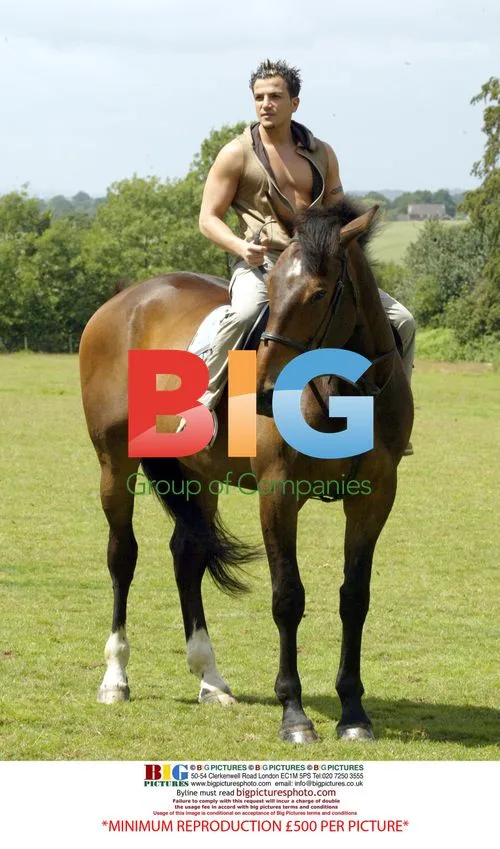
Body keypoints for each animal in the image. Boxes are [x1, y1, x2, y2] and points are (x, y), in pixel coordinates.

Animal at [79, 198, 413, 743]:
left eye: (320, 292)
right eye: (271, 283)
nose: (263, 385)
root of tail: (123, 300)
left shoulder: (375, 496)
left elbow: (354, 598)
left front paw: (353, 712)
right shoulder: (278, 494)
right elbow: (288, 597)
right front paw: (294, 713)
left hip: (199, 474)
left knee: (187, 556)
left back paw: (211, 680)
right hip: (114, 464)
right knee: (121, 556)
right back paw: (116, 677)